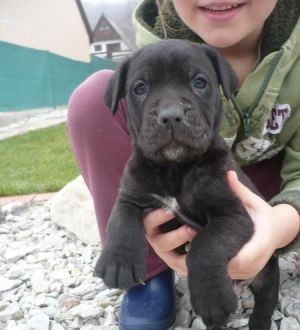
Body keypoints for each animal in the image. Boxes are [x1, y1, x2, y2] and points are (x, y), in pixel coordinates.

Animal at [95, 39, 278, 330]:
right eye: (140, 87)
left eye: (199, 82)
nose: (171, 116)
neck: (176, 168)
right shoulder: (132, 192)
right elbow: (121, 217)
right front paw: (119, 261)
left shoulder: (233, 214)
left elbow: (206, 245)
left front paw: (211, 299)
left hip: (267, 270)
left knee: (267, 299)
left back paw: (258, 321)